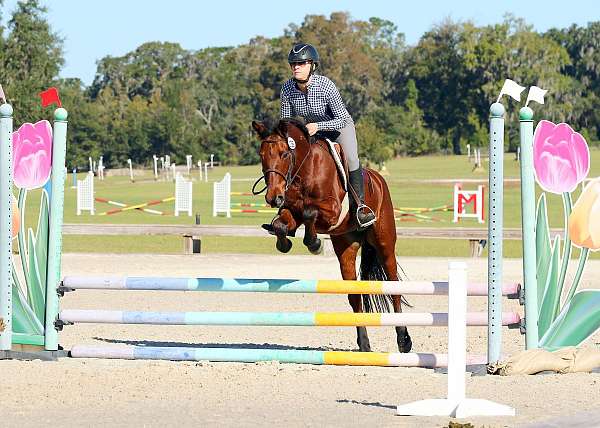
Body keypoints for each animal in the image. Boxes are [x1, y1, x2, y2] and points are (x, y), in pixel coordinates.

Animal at [250, 117, 412, 352]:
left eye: (284, 154)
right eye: (262, 155)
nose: (273, 198)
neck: (304, 171)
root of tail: (378, 178)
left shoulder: (333, 211)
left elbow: (310, 212)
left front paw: (314, 243)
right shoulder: (291, 211)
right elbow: (283, 223)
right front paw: (286, 242)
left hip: (384, 244)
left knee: (394, 288)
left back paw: (404, 340)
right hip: (346, 247)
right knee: (355, 297)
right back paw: (364, 344)